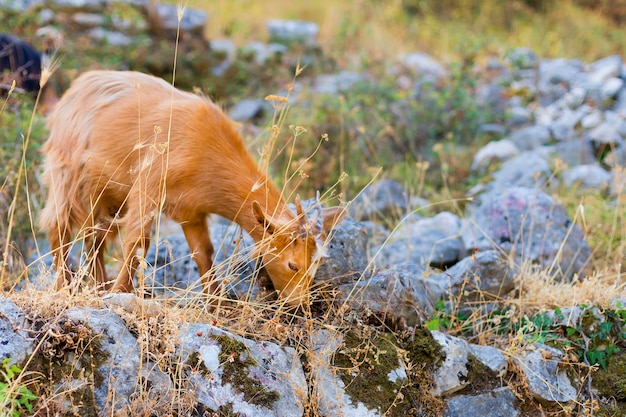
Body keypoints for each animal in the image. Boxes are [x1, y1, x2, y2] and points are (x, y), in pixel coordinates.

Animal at [40, 69, 346, 306]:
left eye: (317, 263)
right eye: (292, 265)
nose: (299, 304)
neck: (206, 146)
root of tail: (76, 89)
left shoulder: (191, 212)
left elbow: (203, 253)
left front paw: (217, 304)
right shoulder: (149, 186)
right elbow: (138, 243)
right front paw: (119, 294)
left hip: (106, 195)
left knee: (94, 238)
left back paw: (98, 286)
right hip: (67, 174)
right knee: (58, 226)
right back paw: (66, 286)